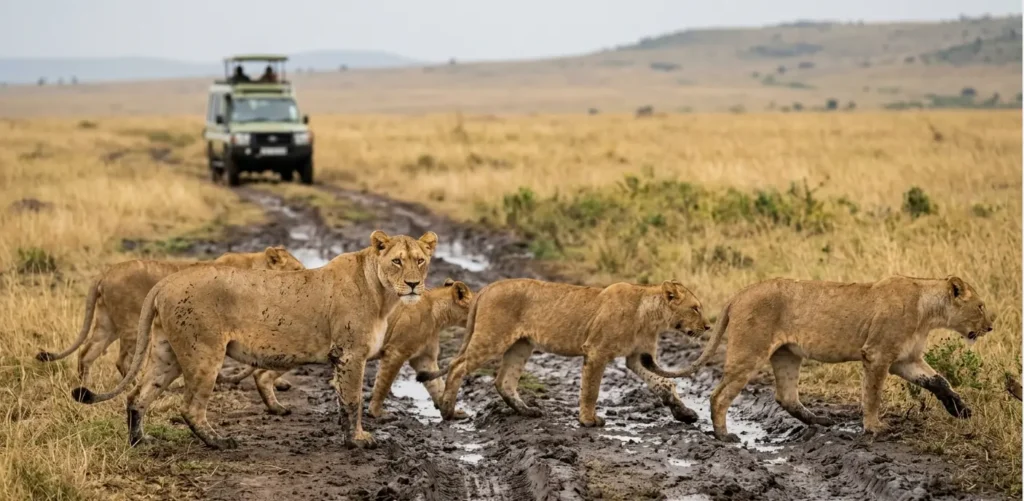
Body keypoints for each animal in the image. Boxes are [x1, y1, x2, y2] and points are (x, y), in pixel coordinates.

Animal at [36, 247, 305, 390]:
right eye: (297, 269)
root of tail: (106, 272)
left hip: (107, 324)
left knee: (87, 353)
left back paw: (85, 387)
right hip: (132, 325)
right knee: (123, 360)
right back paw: (133, 386)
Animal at [71, 230, 437, 450]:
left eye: (421, 260)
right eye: (397, 261)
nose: (413, 284)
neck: (383, 295)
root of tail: (166, 282)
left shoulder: (341, 357)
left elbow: (341, 402)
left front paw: (348, 437)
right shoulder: (351, 355)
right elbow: (352, 401)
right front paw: (359, 440)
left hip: (167, 354)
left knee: (137, 395)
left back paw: (140, 440)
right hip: (204, 352)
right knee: (189, 406)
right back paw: (219, 442)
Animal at [416, 277, 711, 427]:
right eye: (695, 308)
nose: (708, 326)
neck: (651, 316)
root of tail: (487, 288)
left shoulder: (637, 357)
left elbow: (663, 383)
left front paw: (685, 413)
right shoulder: (596, 351)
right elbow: (591, 389)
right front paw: (588, 420)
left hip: (521, 345)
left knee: (503, 381)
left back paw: (527, 411)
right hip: (492, 339)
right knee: (457, 366)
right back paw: (448, 411)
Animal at [640, 275, 995, 442]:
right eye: (980, 306)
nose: (990, 327)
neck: (928, 310)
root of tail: (740, 293)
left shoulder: (904, 360)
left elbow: (939, 380)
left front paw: (961, 411)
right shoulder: (877, 354)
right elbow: (873, 395)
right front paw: (874, 428)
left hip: (786, 355)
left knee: (785, 396)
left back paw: (820, 421)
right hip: (750, 351)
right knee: (719, 395)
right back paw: (723, 436)